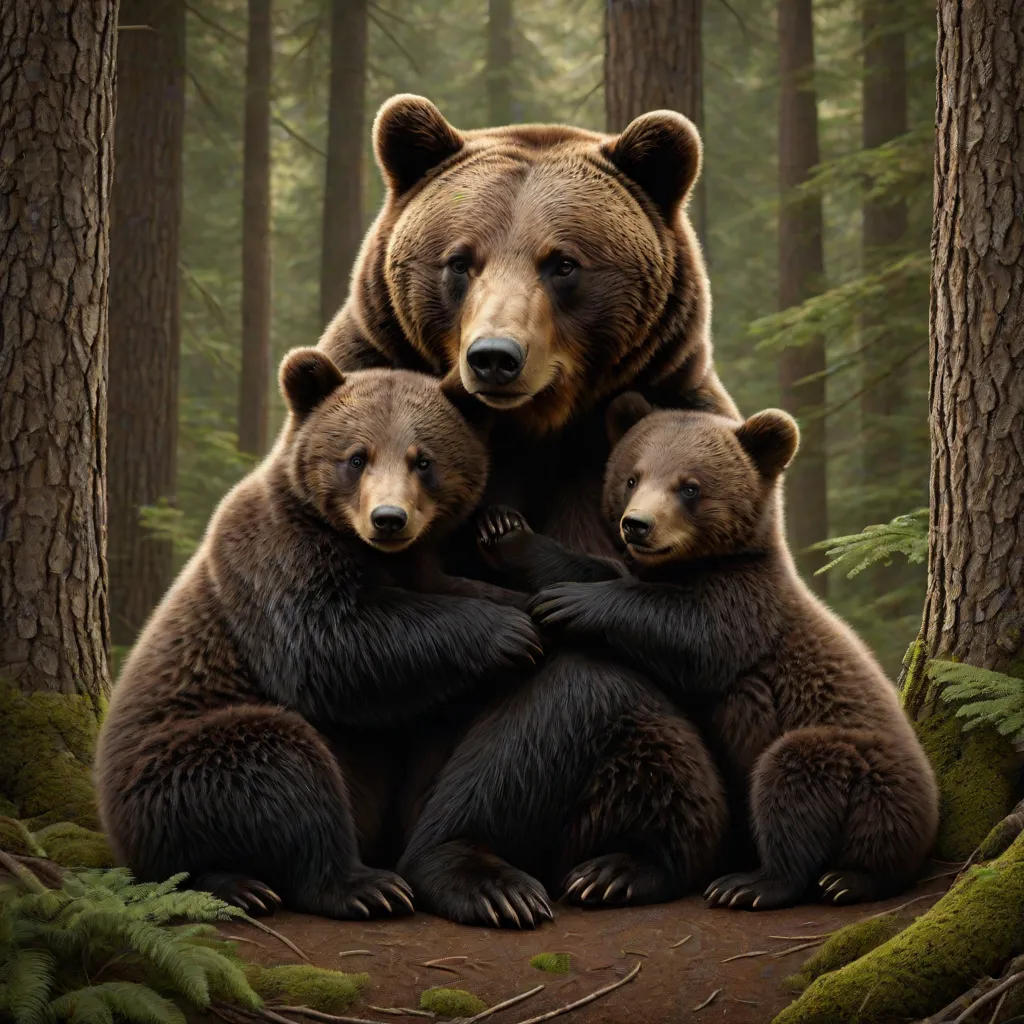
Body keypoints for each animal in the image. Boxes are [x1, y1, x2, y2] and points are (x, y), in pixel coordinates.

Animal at [95, 349, 546, 921]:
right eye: (357, 457)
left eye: (423, 460)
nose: (389, 518)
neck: (366, 550)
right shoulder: (281, 554)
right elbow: (331, 644)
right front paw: (509, 633)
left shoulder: (418, 564)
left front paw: (532, 606)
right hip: (175, 766)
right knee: (282, 769)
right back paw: (351, 885)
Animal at [478, 393, 940, 909]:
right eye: (633, 476)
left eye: (690, 487)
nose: (637, 525)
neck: (692, 565)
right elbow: (597, 568)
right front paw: (504, 530)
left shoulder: (744, 606)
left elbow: (688, 632)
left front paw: (570, 603)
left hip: (860, 771)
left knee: (794, 784)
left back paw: (769, 882)